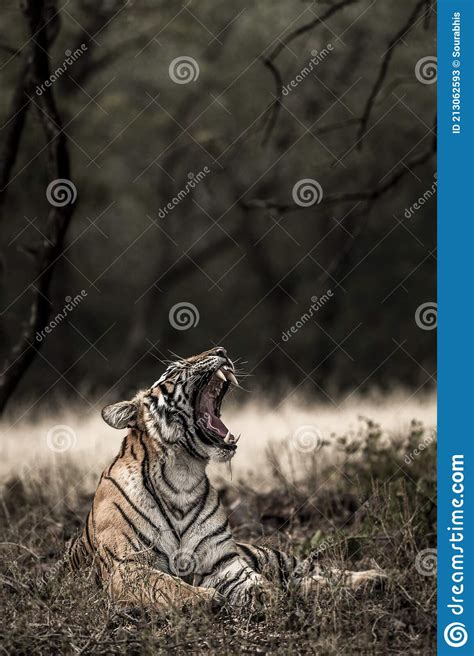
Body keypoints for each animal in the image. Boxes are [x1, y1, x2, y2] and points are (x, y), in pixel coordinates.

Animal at [67, 348, 386, 608]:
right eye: (175, 368)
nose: (221, 350)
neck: (182, 476)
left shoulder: (221, 562)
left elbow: (252, 580)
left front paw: (268, 595)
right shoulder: (126, 566)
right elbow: (166, 585)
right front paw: (206, 599)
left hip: (271, 555)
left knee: (313, 570)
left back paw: (372, 578)